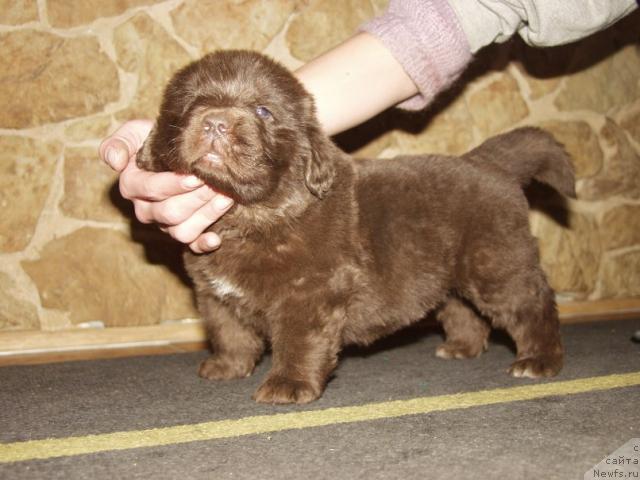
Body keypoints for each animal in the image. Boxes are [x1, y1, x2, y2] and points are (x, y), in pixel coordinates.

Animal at [136, 50, 576, 404]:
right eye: (190, 104)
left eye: (263, 111)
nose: (215, 122)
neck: (248, 217)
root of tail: (490, 163)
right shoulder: (214, 294)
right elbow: (229, 332)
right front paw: (226, 367)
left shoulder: (310, 292)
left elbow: (298, 341)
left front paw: (288, 386)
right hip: (451, 270)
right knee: (462, 308)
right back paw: (461, 348)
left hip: (496, 263)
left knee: (532, 304)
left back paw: (538, 360)